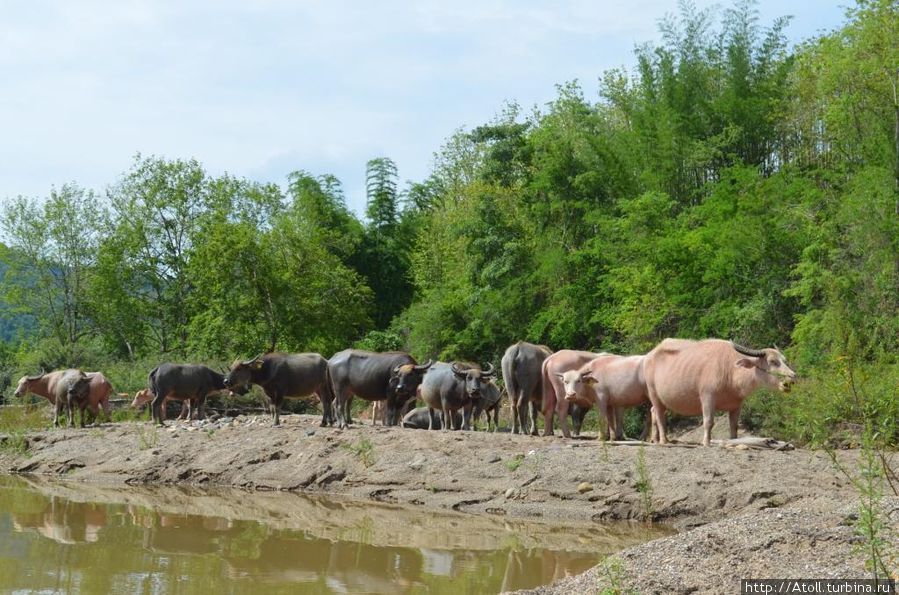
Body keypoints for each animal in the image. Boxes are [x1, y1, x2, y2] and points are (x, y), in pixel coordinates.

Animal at [644, 340, 800, 448]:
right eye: (772, 361)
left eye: (784, 360)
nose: (792, 378)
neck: (730, 371)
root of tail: (650, 356)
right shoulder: (707, 397)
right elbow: (708, 422)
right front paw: (706, 442)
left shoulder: (737, 405)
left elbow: (734, 426)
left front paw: (734, 442)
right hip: (654, 395)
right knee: (660, 417)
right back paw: (663, 440)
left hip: (665, 400)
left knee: (655, 412)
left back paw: (657, 439)